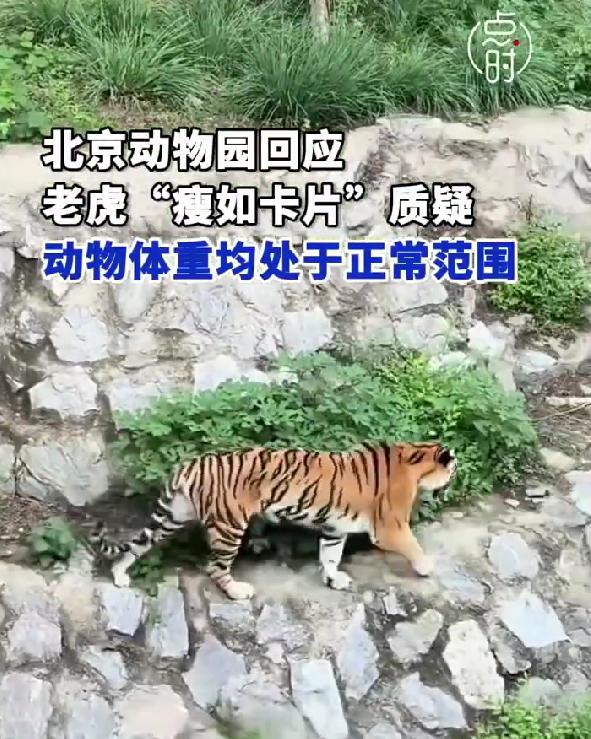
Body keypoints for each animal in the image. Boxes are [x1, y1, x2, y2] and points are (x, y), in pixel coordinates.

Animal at [90, 442, 457, 600]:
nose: (453, 478)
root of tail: (189, 465)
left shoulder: (334, 527)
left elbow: (330, 555)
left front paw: (333, 579)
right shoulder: (390, 526)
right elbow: (412, 544)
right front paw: (426, 567)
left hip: (173, 515)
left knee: (137, 544)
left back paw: (120, 576)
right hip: (229, 525)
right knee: (215, 567)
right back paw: (238, 591)